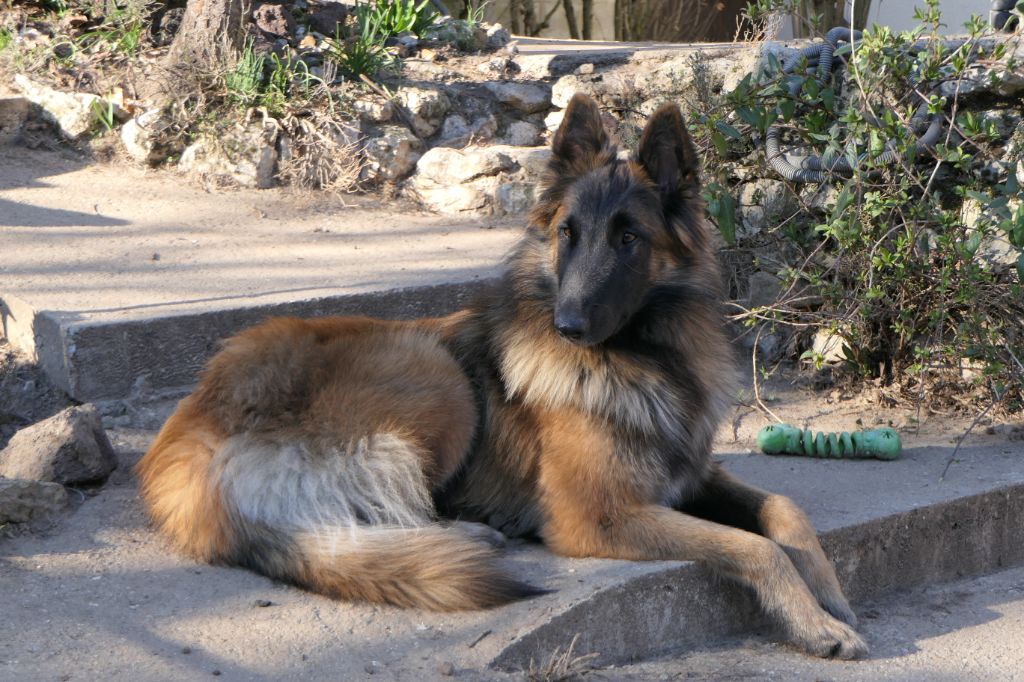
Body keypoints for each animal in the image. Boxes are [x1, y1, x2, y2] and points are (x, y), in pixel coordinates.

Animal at [140, 93, 868, 655]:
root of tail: (192, 428)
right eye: (567, 233)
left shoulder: (692, 474)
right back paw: (475, 534)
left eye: (629, 238)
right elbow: (751, 547)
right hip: (436, 374)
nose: (568, 325)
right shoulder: (598, 518)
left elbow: (784, 510)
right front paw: (815, 622)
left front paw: (830, 593)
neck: (647, 359)